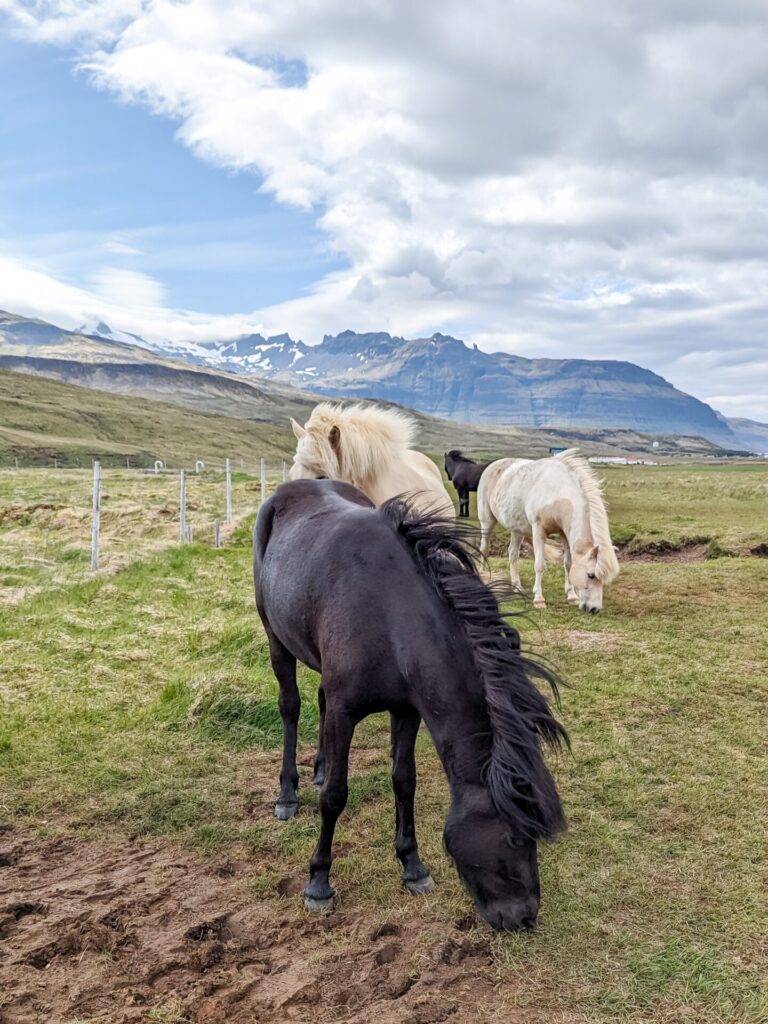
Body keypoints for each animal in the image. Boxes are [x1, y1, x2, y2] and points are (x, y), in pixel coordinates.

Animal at [256, 475, 569, 933]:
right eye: (516, 835)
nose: (524, 917)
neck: (389, 618)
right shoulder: (346, 713)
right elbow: (335, 796)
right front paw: (318, 882)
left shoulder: (407, 711)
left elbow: (404, 781)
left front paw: (413, 865)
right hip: (276, 641)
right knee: (291, 707)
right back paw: (288, 793)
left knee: (318, 700)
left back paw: (318, 768)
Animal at [479, 446, 622, 606]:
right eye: (590, 575)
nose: (594, 608)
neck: (557, 494)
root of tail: (492, 466)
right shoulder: (538, 531)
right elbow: (539, 565)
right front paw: (538, 599)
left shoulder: (564, 534)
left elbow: (568, 564)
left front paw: (571, 596)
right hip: (486, 521)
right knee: (484, 548)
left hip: (517, 529)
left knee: (513, 553)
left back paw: (517, 586)